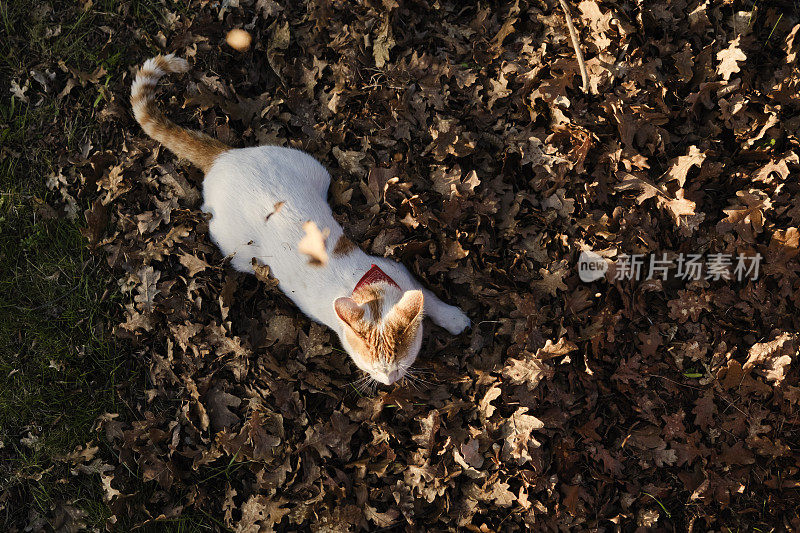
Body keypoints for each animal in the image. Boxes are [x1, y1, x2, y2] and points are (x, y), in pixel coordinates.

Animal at [130, 54, 468, 384]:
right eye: (371, 368)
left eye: (399, 363)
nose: (389, 381)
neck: (366, 289)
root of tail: (224, 158)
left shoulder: (398, 272)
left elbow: (428, 298)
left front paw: (452, 317)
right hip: (236, 249)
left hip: (310, 166)